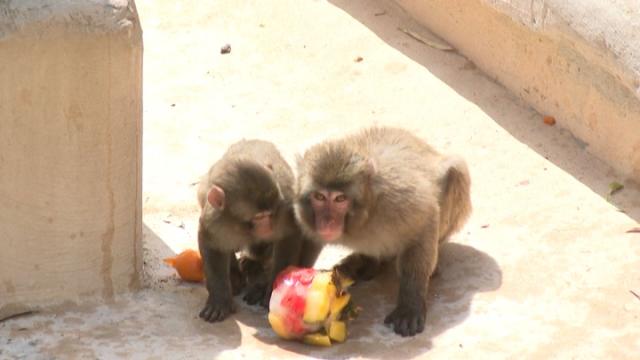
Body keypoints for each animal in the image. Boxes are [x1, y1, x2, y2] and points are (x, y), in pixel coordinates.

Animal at [198, 139, 322, 322]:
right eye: (258, 217)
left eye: (270, 213)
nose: (268, 226)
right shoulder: (215, 217)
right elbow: (210, 242)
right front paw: (219, 299)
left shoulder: (283, 205)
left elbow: (289, 236)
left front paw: (271, 290)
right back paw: (236, 272)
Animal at [294, 125, 470, 336]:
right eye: (319, 197)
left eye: (339, 199)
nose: (327, 222)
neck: (364, 217)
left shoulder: (398, 200)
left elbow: (425, 219)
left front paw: (410, 305)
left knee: (456, 171)